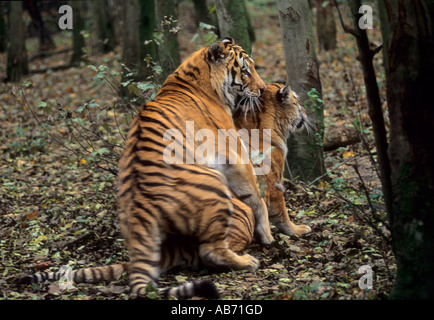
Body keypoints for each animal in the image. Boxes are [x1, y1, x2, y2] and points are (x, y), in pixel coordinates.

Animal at [18, 81, 310, 298]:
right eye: (298, 101)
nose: (308, 115)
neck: (264, 120)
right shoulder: (272, 181)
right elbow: (279, 210)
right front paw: (294, 231)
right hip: (234, 214)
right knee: (210, 252)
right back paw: (244, 258)